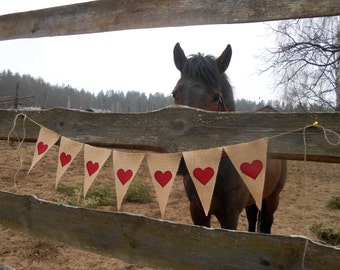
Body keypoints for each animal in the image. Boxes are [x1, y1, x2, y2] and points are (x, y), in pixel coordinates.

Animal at [173, 43, 286, 233]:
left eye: (217, 97)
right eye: (174, 93)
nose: (184, 159)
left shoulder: (230, 217)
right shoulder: (197, 212)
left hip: (272, 198)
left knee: (266, 223)